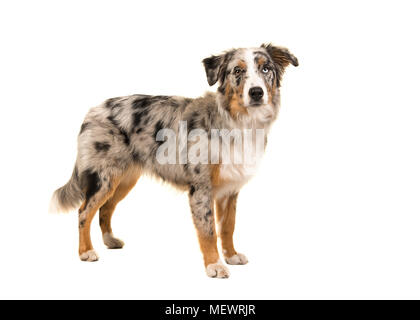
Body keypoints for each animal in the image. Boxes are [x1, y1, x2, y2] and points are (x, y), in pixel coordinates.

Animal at [50, 43, 298, 278]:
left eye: (266, 69)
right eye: (237, 70)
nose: (256, 92)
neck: (239, 123)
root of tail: (93, 111)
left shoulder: (230, 189)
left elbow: (228, 226)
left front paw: (231, 256)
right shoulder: (201, 188)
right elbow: (209, 231)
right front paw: (214, 265)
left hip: (124, 180)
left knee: (105, 208)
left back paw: (110, 240)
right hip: (105, 178)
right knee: (84, 211)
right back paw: (86, 252)